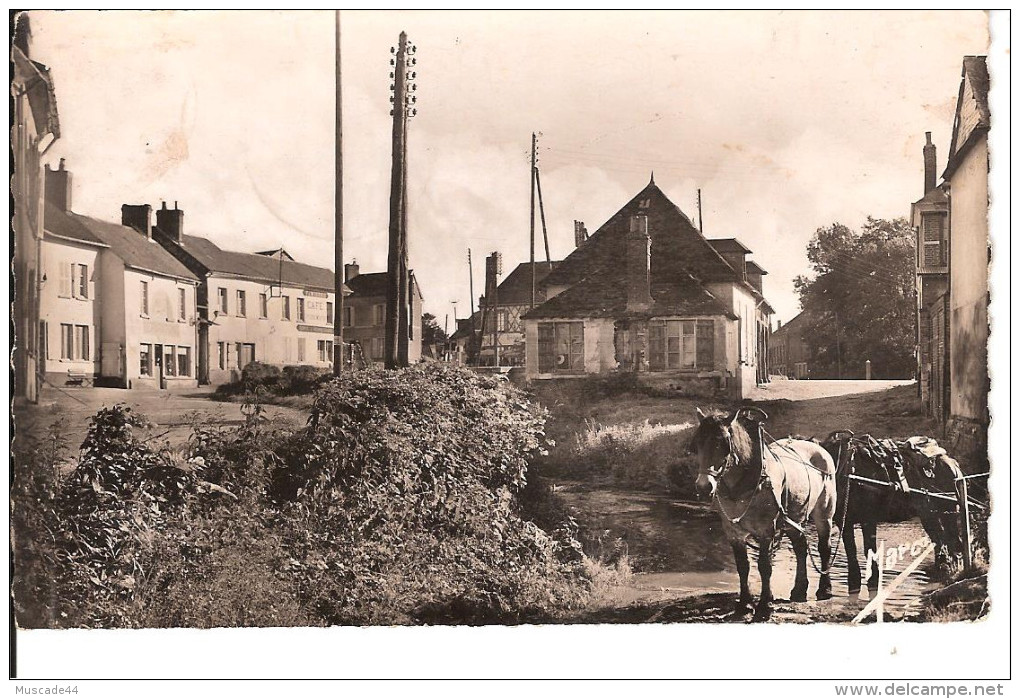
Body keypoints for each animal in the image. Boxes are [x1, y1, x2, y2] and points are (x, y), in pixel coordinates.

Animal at [685, 406, 836, 620]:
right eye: (698, 443)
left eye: (723, 443)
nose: (704, 486)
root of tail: (817, 447)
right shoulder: (733, 532)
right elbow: (743, 566)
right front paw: (745, 604)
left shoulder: (766, 530)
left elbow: (765, 566)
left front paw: (765, 605)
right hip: (792, 520)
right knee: (800, 547)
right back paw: (799, 590)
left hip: (824, 514)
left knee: (824, 548)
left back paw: (825, 589)